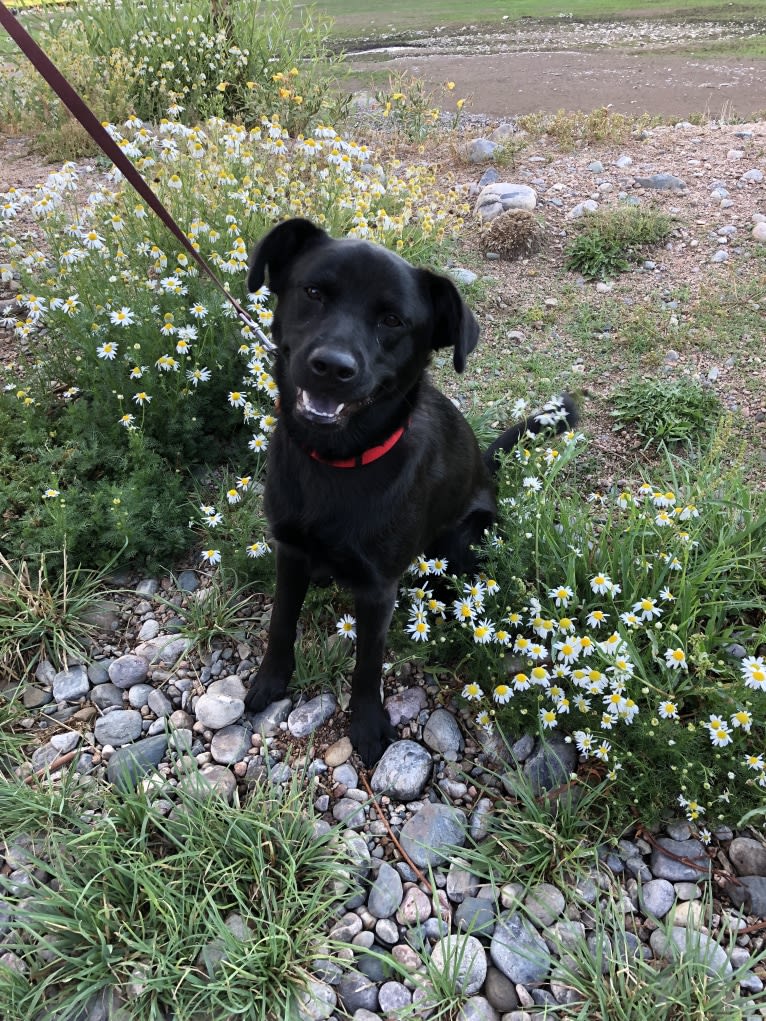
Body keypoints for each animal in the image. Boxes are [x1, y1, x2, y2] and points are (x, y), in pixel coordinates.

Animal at [246, 223, 576, 767]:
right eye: (313, 292)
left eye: (392, 320)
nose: (331, 367)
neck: (338, 462)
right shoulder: (289, 550)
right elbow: (281, 621)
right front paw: (270, 679)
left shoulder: (379, 588)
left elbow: (367, 663)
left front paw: (366, 725)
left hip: (461, 540)